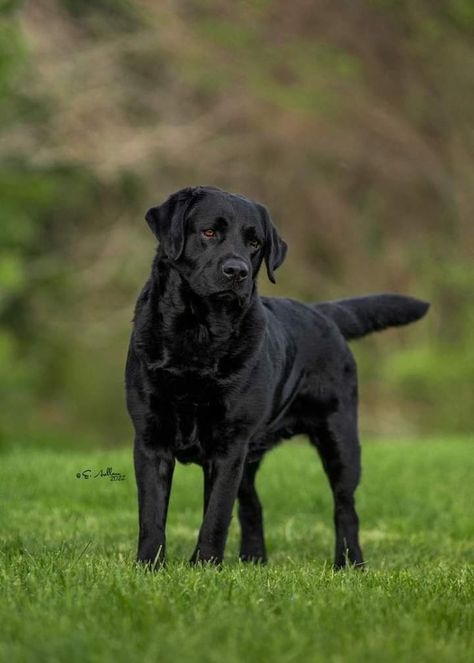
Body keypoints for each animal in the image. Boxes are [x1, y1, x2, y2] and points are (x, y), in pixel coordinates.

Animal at [126, 187, 430, 572]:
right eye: (209, 232)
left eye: (254, 242)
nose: (237, 270)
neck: (198, 335)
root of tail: (321, 312)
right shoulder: (151, 439)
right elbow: (152, 515)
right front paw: (149, 567)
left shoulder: (229, 447)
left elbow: (215, 517)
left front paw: (204, 567)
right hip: (253, 456)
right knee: (253, 504)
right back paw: (254, 559)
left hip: (340, 439)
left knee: (345, 506)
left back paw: (349, 563)